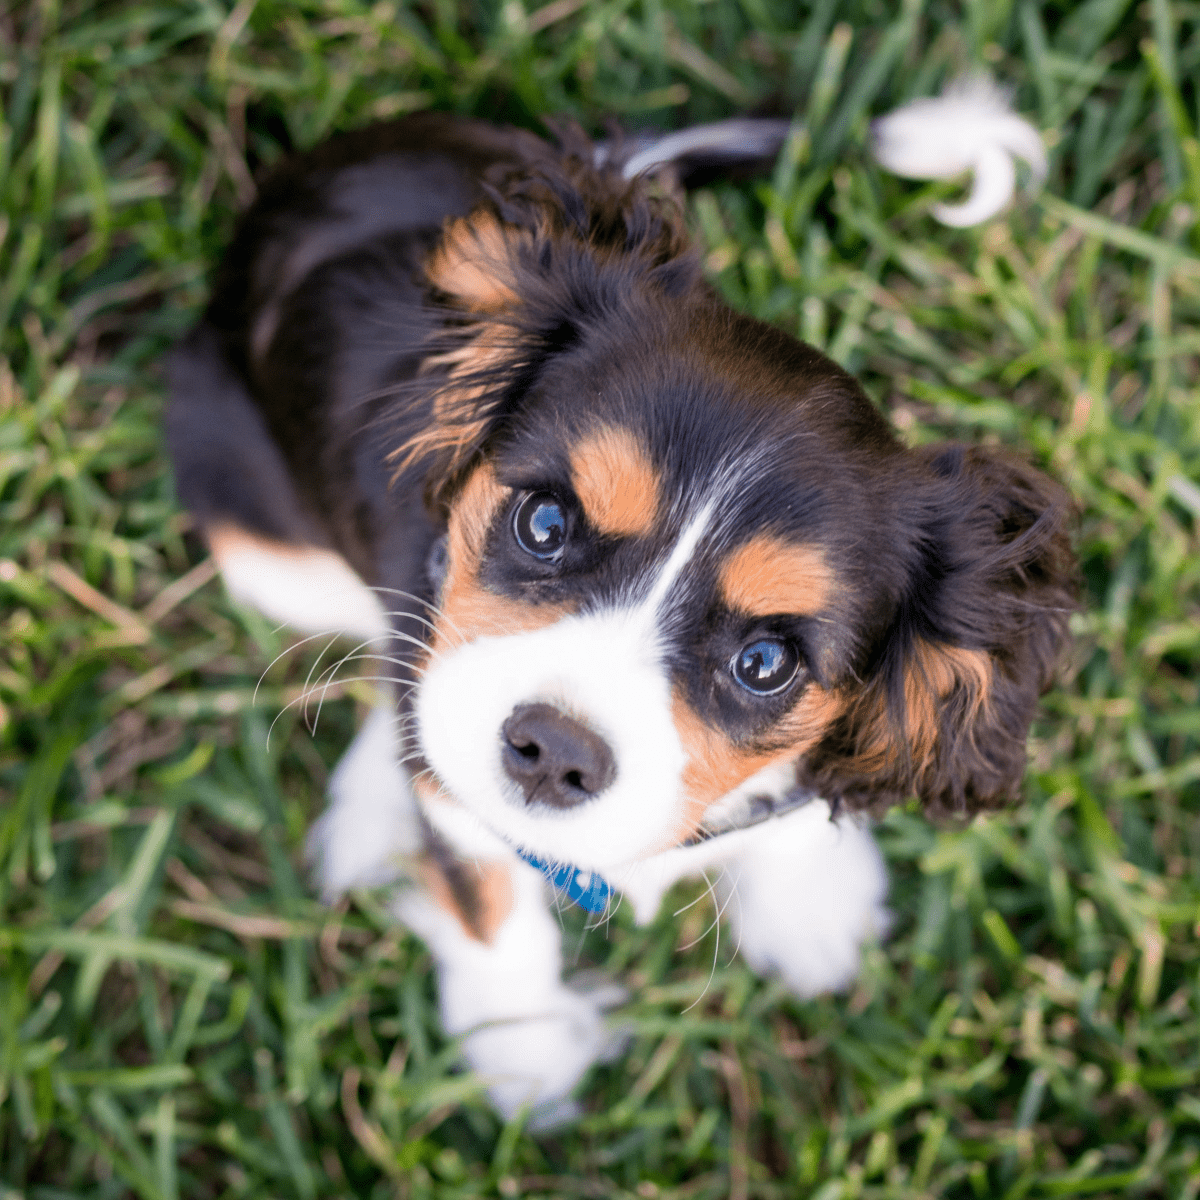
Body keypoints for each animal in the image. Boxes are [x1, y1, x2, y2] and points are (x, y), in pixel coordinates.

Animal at [164, 112, 1075, 1123]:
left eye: (766, 662)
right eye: (545, 524)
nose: (553, 751)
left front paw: (810, 905)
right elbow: (488, 899)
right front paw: (522, 1056)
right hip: (259, 536)